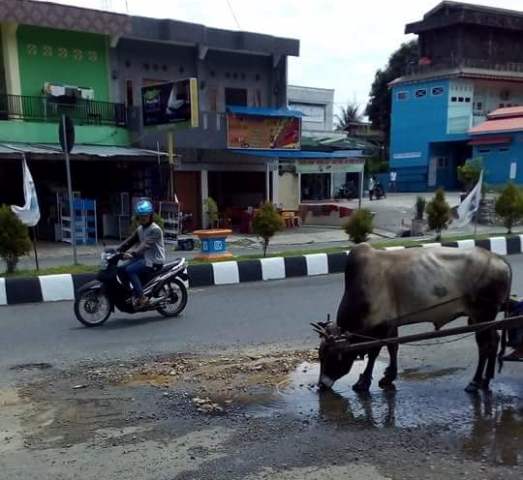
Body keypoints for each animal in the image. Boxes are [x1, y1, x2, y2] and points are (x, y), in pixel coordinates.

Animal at [316, 244, 512, 394]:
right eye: (320, 355)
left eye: (330, 356)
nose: (321, 385)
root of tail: (499, 259)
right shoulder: (391, 325)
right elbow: (393, 347)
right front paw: (388, 376)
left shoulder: (380, 327)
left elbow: (373, 353)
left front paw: (363, 382)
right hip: (480, 318)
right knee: (493, 341)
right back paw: (485, 380)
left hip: (483, 314)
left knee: (486, 345)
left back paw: (475, 382)